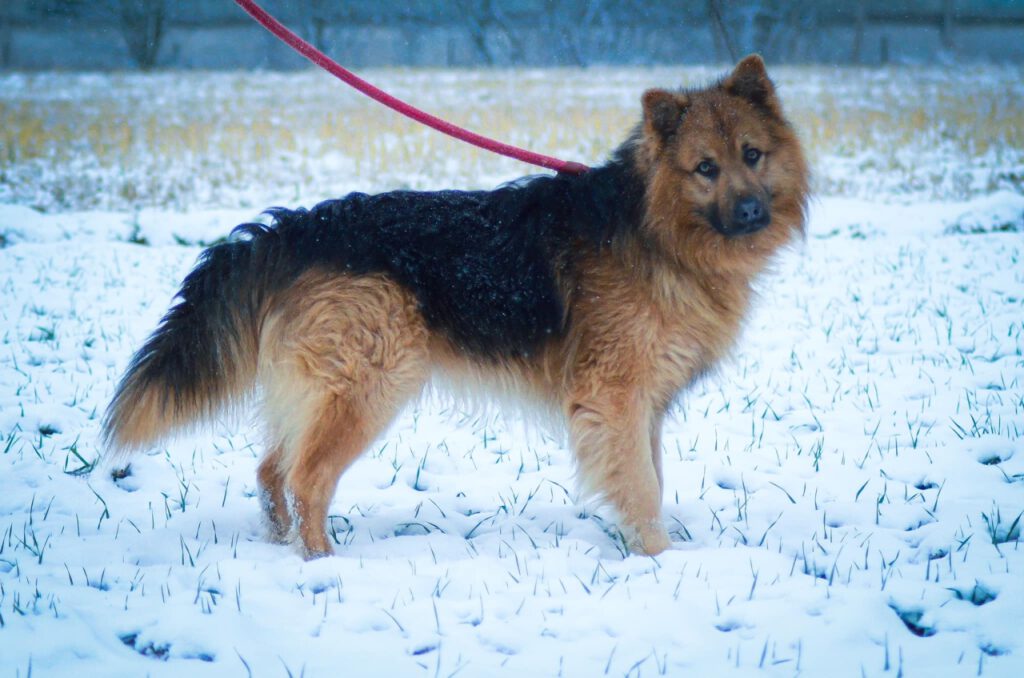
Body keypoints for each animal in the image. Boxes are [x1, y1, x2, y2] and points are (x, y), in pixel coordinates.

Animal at [103, 55, 806, 561]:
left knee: (272, 470)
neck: (653, 228)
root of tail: (298, 228)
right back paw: (321, 564)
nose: (751, 212)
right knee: (305, 479)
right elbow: (639, 486)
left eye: (752, 155)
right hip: (369, 385)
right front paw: (659, 562)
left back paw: (279, 550)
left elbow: (651, 482)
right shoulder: (616, 399)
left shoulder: (644, 406)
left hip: (317, 389)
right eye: (705, 167)